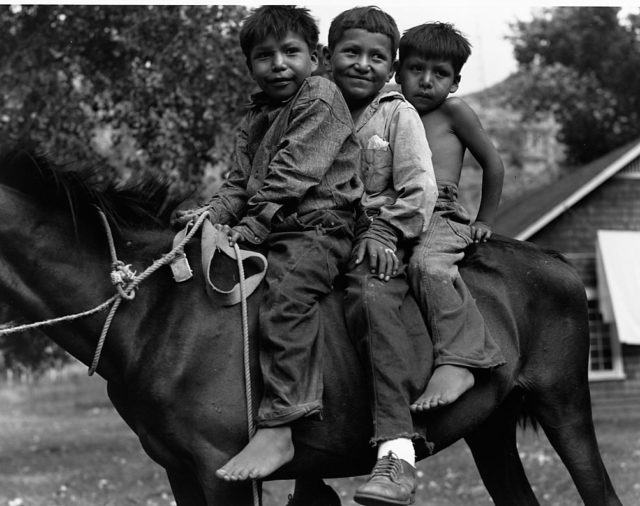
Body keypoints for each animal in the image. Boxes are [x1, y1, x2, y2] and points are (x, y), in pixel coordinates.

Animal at [0, 148, 620, 506]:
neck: (155, 312)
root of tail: (556, 263)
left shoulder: (218, 474)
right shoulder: (181, 474)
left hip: (563, 406)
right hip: (489, 429)